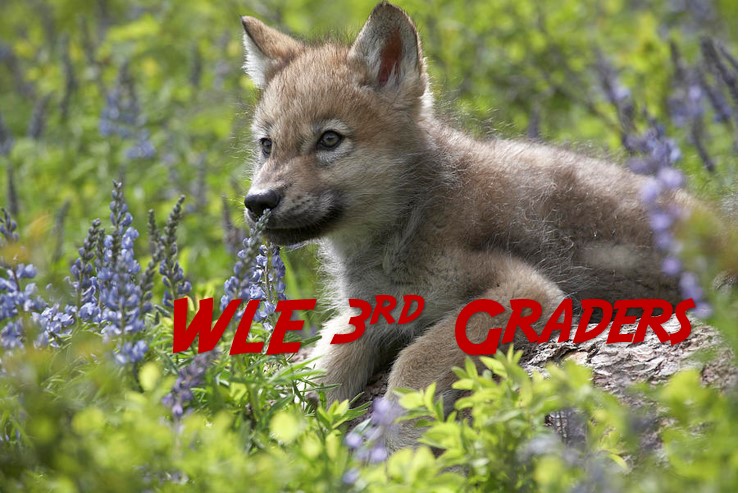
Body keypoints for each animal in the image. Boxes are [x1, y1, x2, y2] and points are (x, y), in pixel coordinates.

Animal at [240, 2, 694, 449]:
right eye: (267, 145)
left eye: (330, 140)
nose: (257, 202)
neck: (406, 224)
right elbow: (328, 359)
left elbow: (415, 361)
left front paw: (404, 447)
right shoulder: (371, 313)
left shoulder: (528, 292)